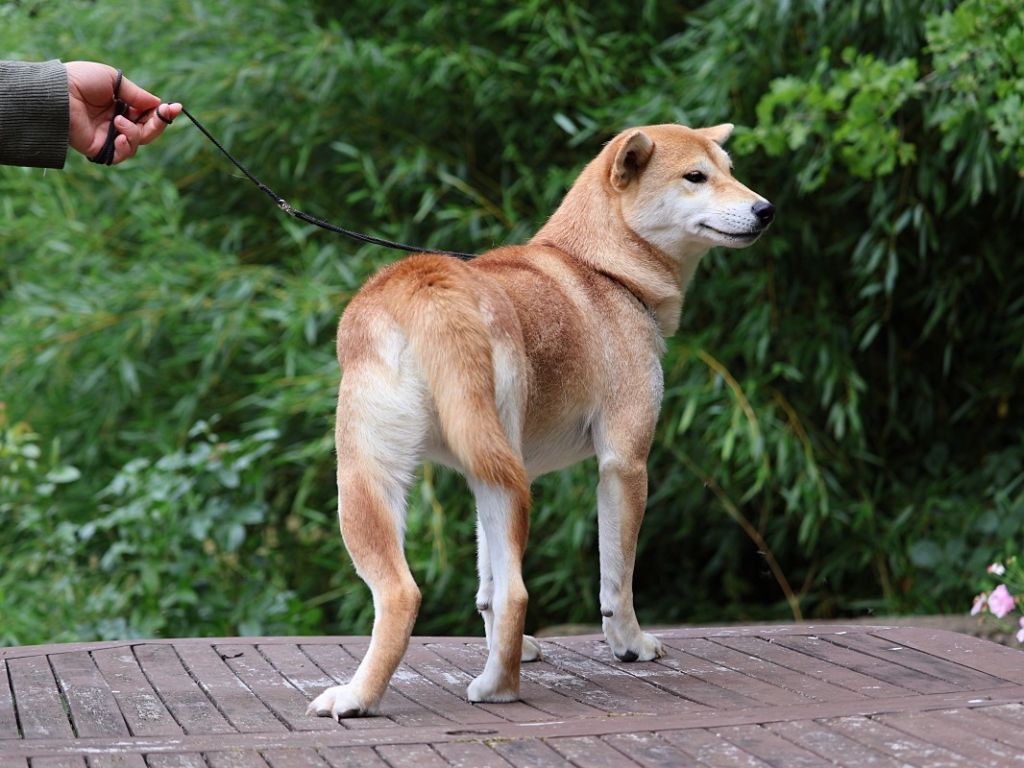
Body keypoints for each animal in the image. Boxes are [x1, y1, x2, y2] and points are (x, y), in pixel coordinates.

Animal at [307, 123, 770, 720]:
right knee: (495, 592)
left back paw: (387, 692)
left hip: (398, 482)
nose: (766, 209)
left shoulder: (484, 473)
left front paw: (510, 644)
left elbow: (487, 586)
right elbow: (617, 580)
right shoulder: (624, 464)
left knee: (447, 591)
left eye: (729, 170)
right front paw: (630, 645)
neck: (604, 270)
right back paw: (488, 689)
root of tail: (426, 285)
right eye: (696, 176)